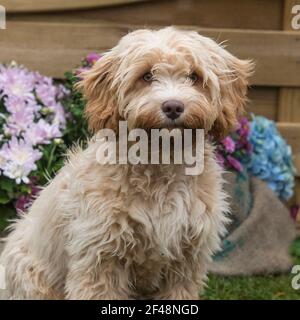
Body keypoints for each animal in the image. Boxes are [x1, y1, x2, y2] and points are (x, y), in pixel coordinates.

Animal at [0, 27, 253, 300]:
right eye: (147, 75)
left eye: (194, 76)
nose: (173, 106)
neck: (162, 161)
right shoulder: (99, 258)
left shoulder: (186, 263)